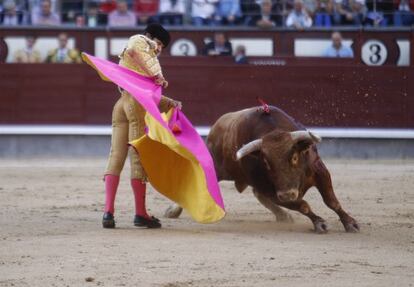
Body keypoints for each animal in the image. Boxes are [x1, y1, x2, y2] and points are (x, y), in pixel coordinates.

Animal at [165, 106, 360, 234]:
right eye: (266, 162)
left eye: (294, 157)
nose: (288, 194)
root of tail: (216, 127)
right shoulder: (274, 192)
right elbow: (303, 205)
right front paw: (319, 223)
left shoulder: (320, 171)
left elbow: (331, 201)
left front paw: (350, 223)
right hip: (217, 168)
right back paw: (173, 211)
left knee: (258, 195)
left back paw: (282, 215)